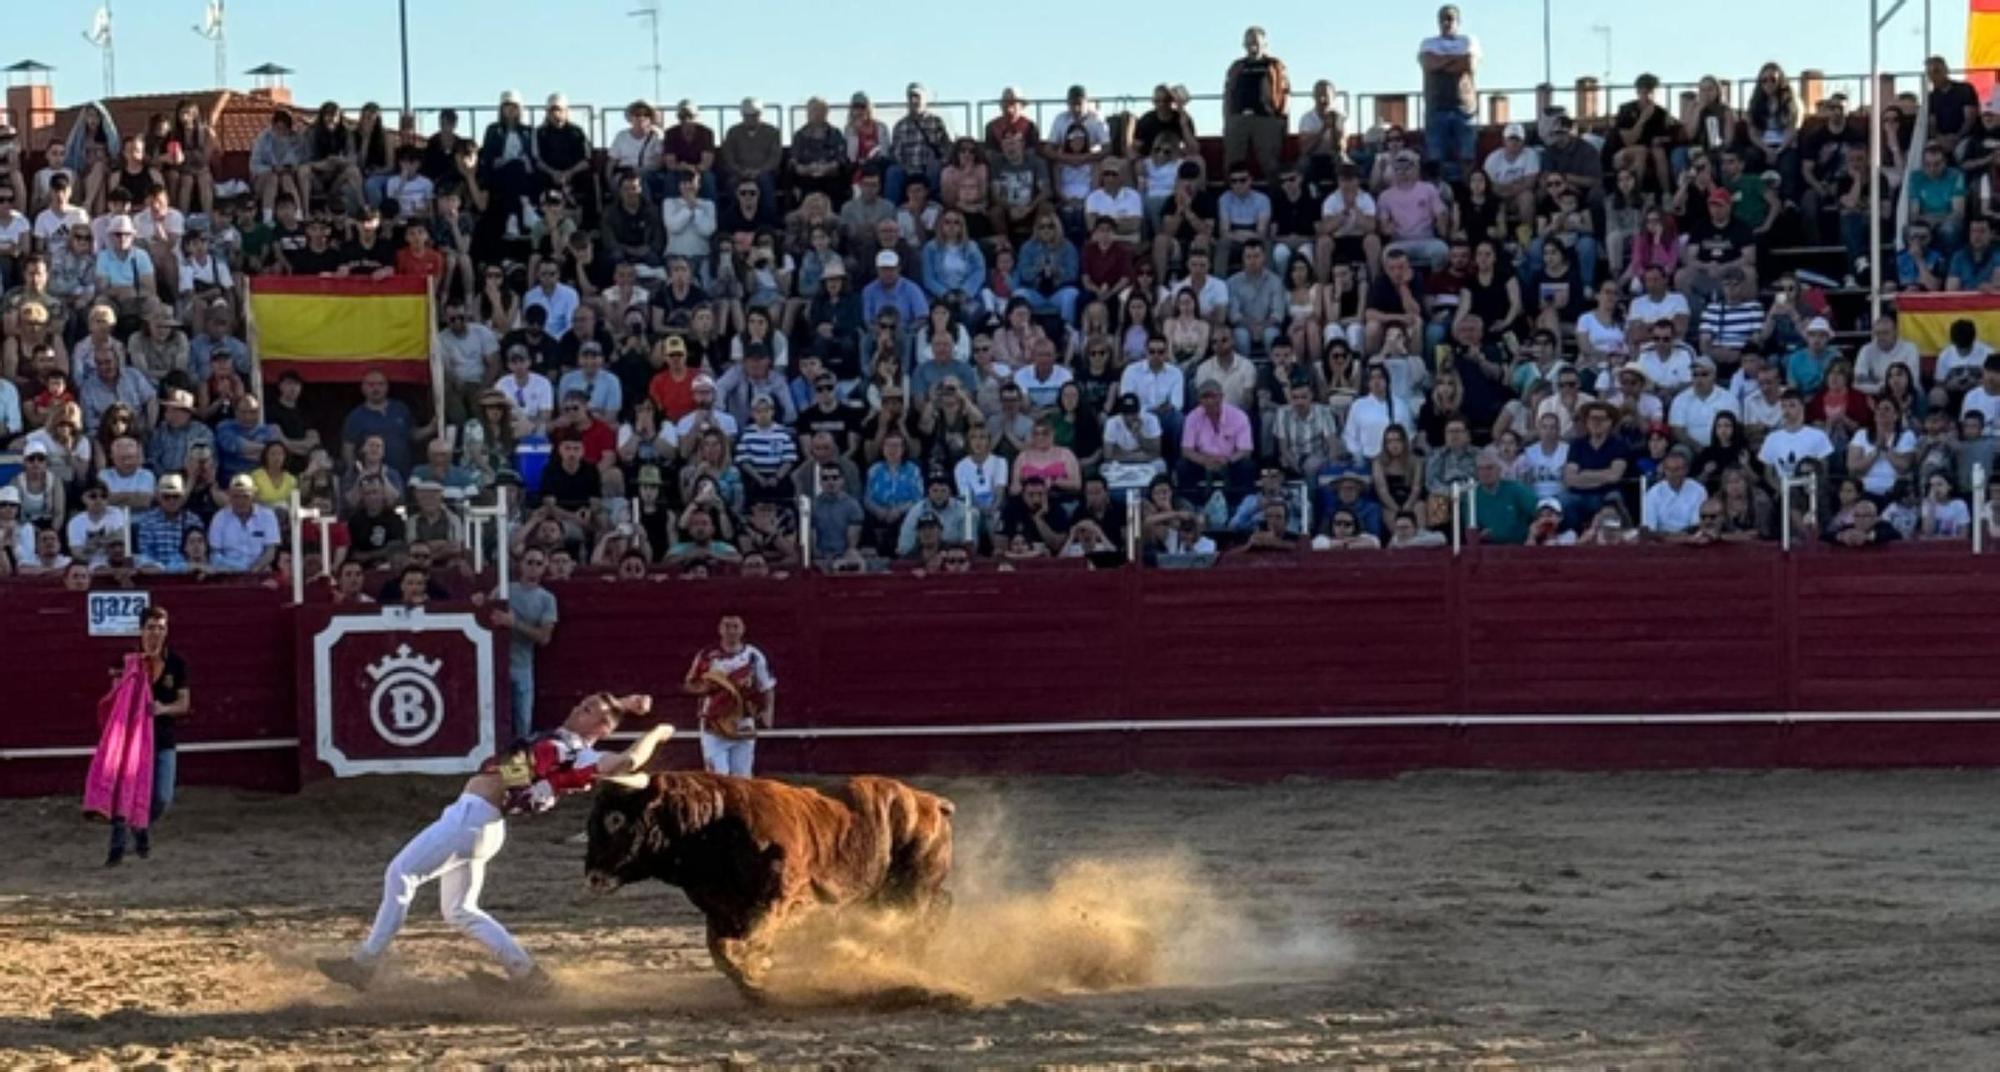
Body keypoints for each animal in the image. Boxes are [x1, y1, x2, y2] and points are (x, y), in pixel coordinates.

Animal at [584, 772, 956, 996]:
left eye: (616, 819)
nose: (592, 876)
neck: (712, 826)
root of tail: (930, 801)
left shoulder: (777, 901)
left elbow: (746, 942)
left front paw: (757, 975)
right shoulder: (720, 910)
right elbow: (720, 950)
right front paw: (753, 981)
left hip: (908, 891)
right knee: (939, 908)